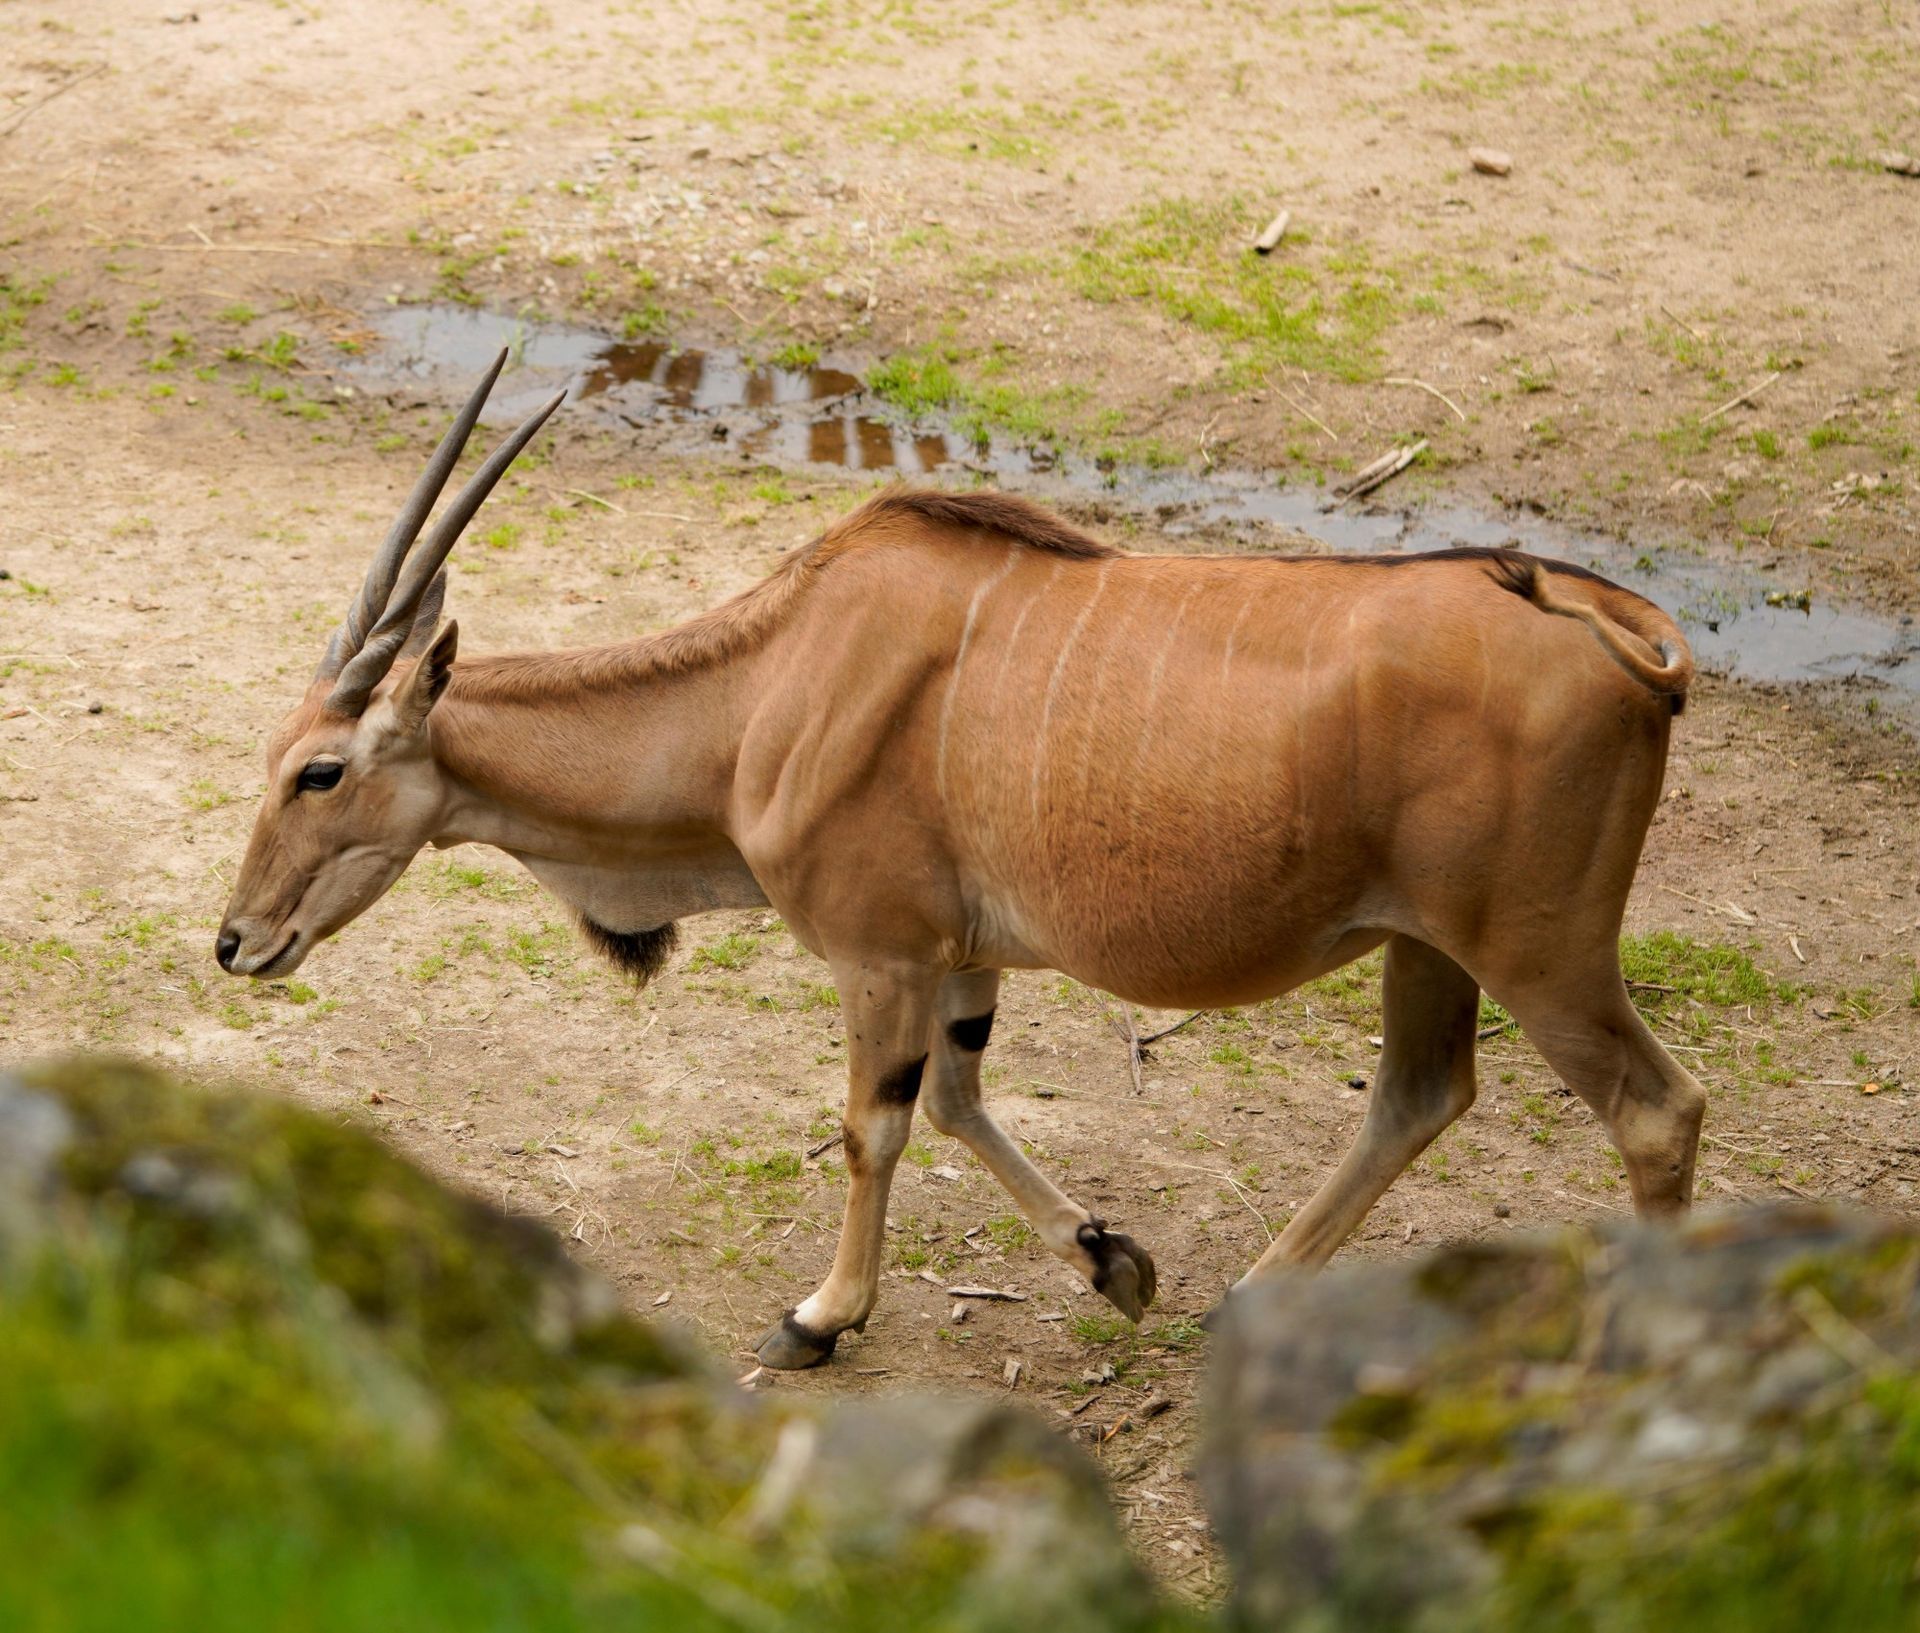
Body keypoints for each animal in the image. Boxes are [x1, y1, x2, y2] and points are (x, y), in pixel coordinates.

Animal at [218, 356, 1706, 1370]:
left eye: (320, 771)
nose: (237, 940)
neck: (775, 677)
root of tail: (1621, 626)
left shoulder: (880, 956)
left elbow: (874, 1124)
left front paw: (822, 1314)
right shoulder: (966, 958)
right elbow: (956, 1103)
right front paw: (1111, 1260)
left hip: (1539, 951)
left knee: (1655, 1111)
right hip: (1429, 947)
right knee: (1417, 1095)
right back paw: (1246, 1301)